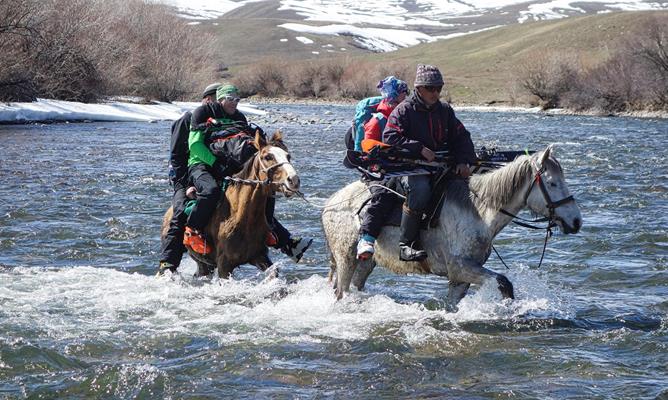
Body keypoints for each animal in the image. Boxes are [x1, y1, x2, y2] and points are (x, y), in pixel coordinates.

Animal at [160, 131, 298, 278]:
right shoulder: (224, 265)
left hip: (204, 263)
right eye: (268, 156)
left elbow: (273, 273)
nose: (294, 180)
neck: (240, 216)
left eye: (288, 156)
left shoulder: (259, 256)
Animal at [320, 145, 580, 308]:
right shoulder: (461, 268)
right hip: (346, 259)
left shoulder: (460, 278)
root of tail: (330, 204)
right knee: (341, 291)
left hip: (365, 264)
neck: (479, 211)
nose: (576, 221)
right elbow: (504, 283)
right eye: (552, 183)